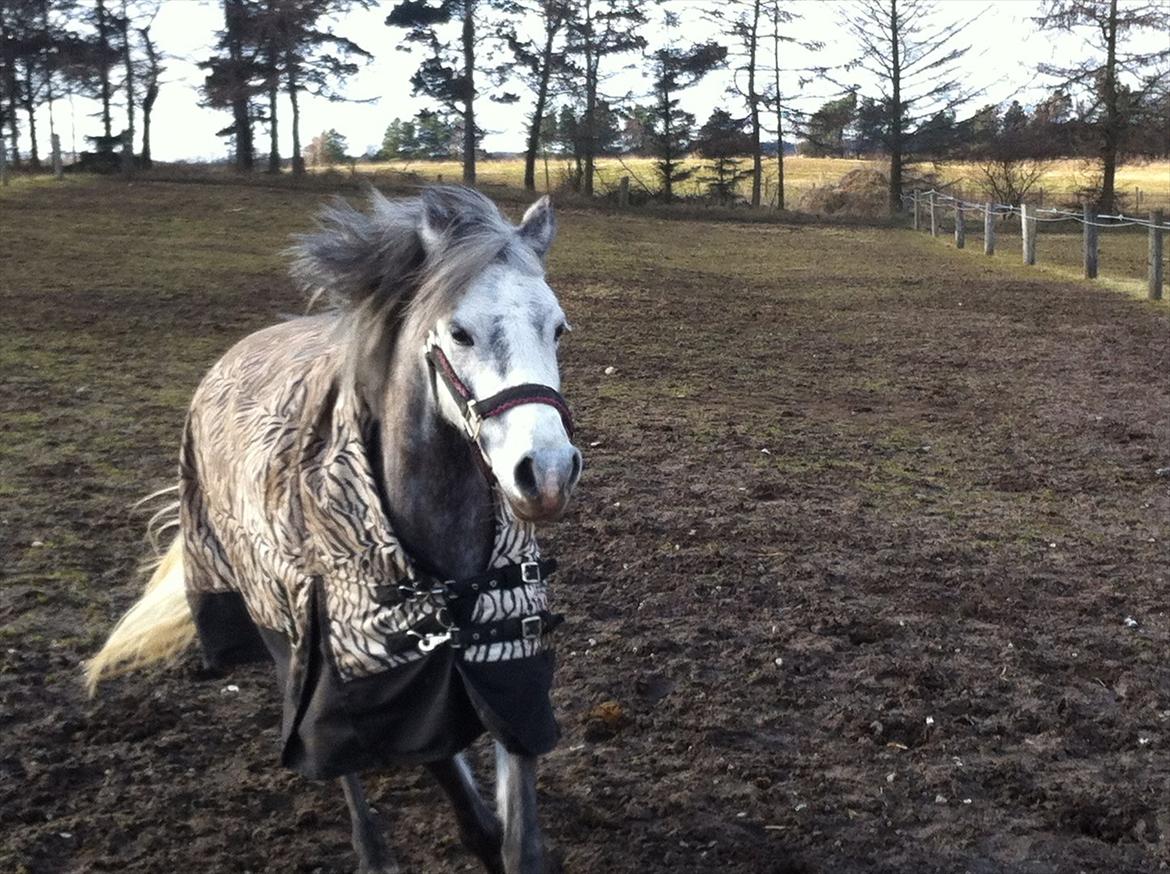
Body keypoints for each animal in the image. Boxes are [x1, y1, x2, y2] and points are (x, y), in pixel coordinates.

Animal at [80, 186, 582, 874]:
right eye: (460, 332)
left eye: (557, 328)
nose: (548, 472)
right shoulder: (375, 673)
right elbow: (448, 783)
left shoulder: (510, 671)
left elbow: (518, 838)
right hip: (282, 630)